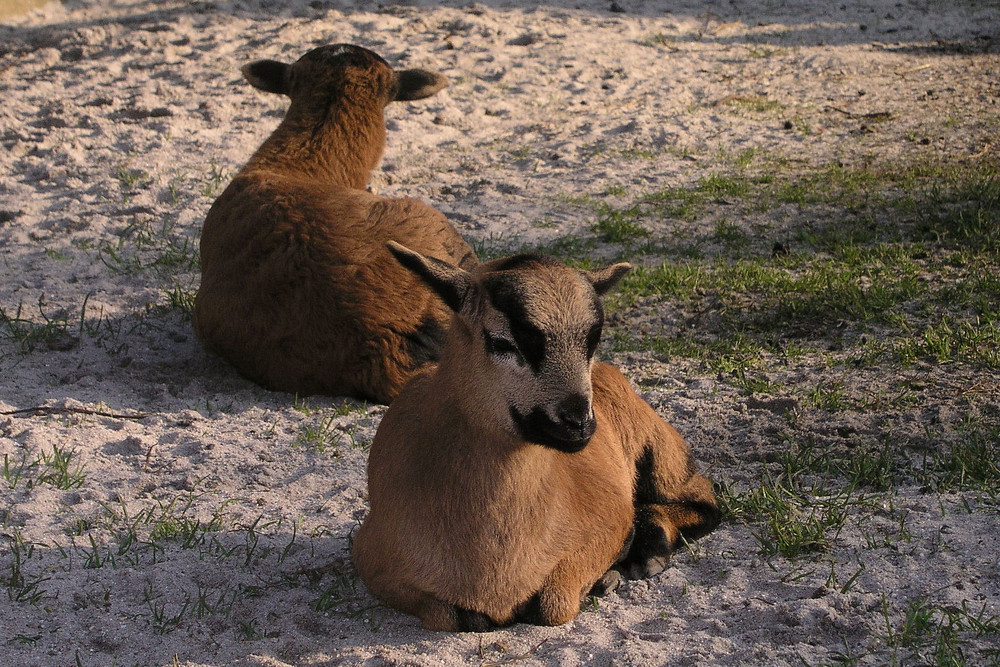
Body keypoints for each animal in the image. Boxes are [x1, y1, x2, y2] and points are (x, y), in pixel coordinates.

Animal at [352, 244, 720, 632]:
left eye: (592, 342)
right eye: (501, 342)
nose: (578, 422)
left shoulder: (608, 521)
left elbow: (552, 605)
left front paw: (611, 565)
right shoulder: (372, 559)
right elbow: (454, 616)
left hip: (657, 446)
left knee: (702, 500)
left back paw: (645, 553)